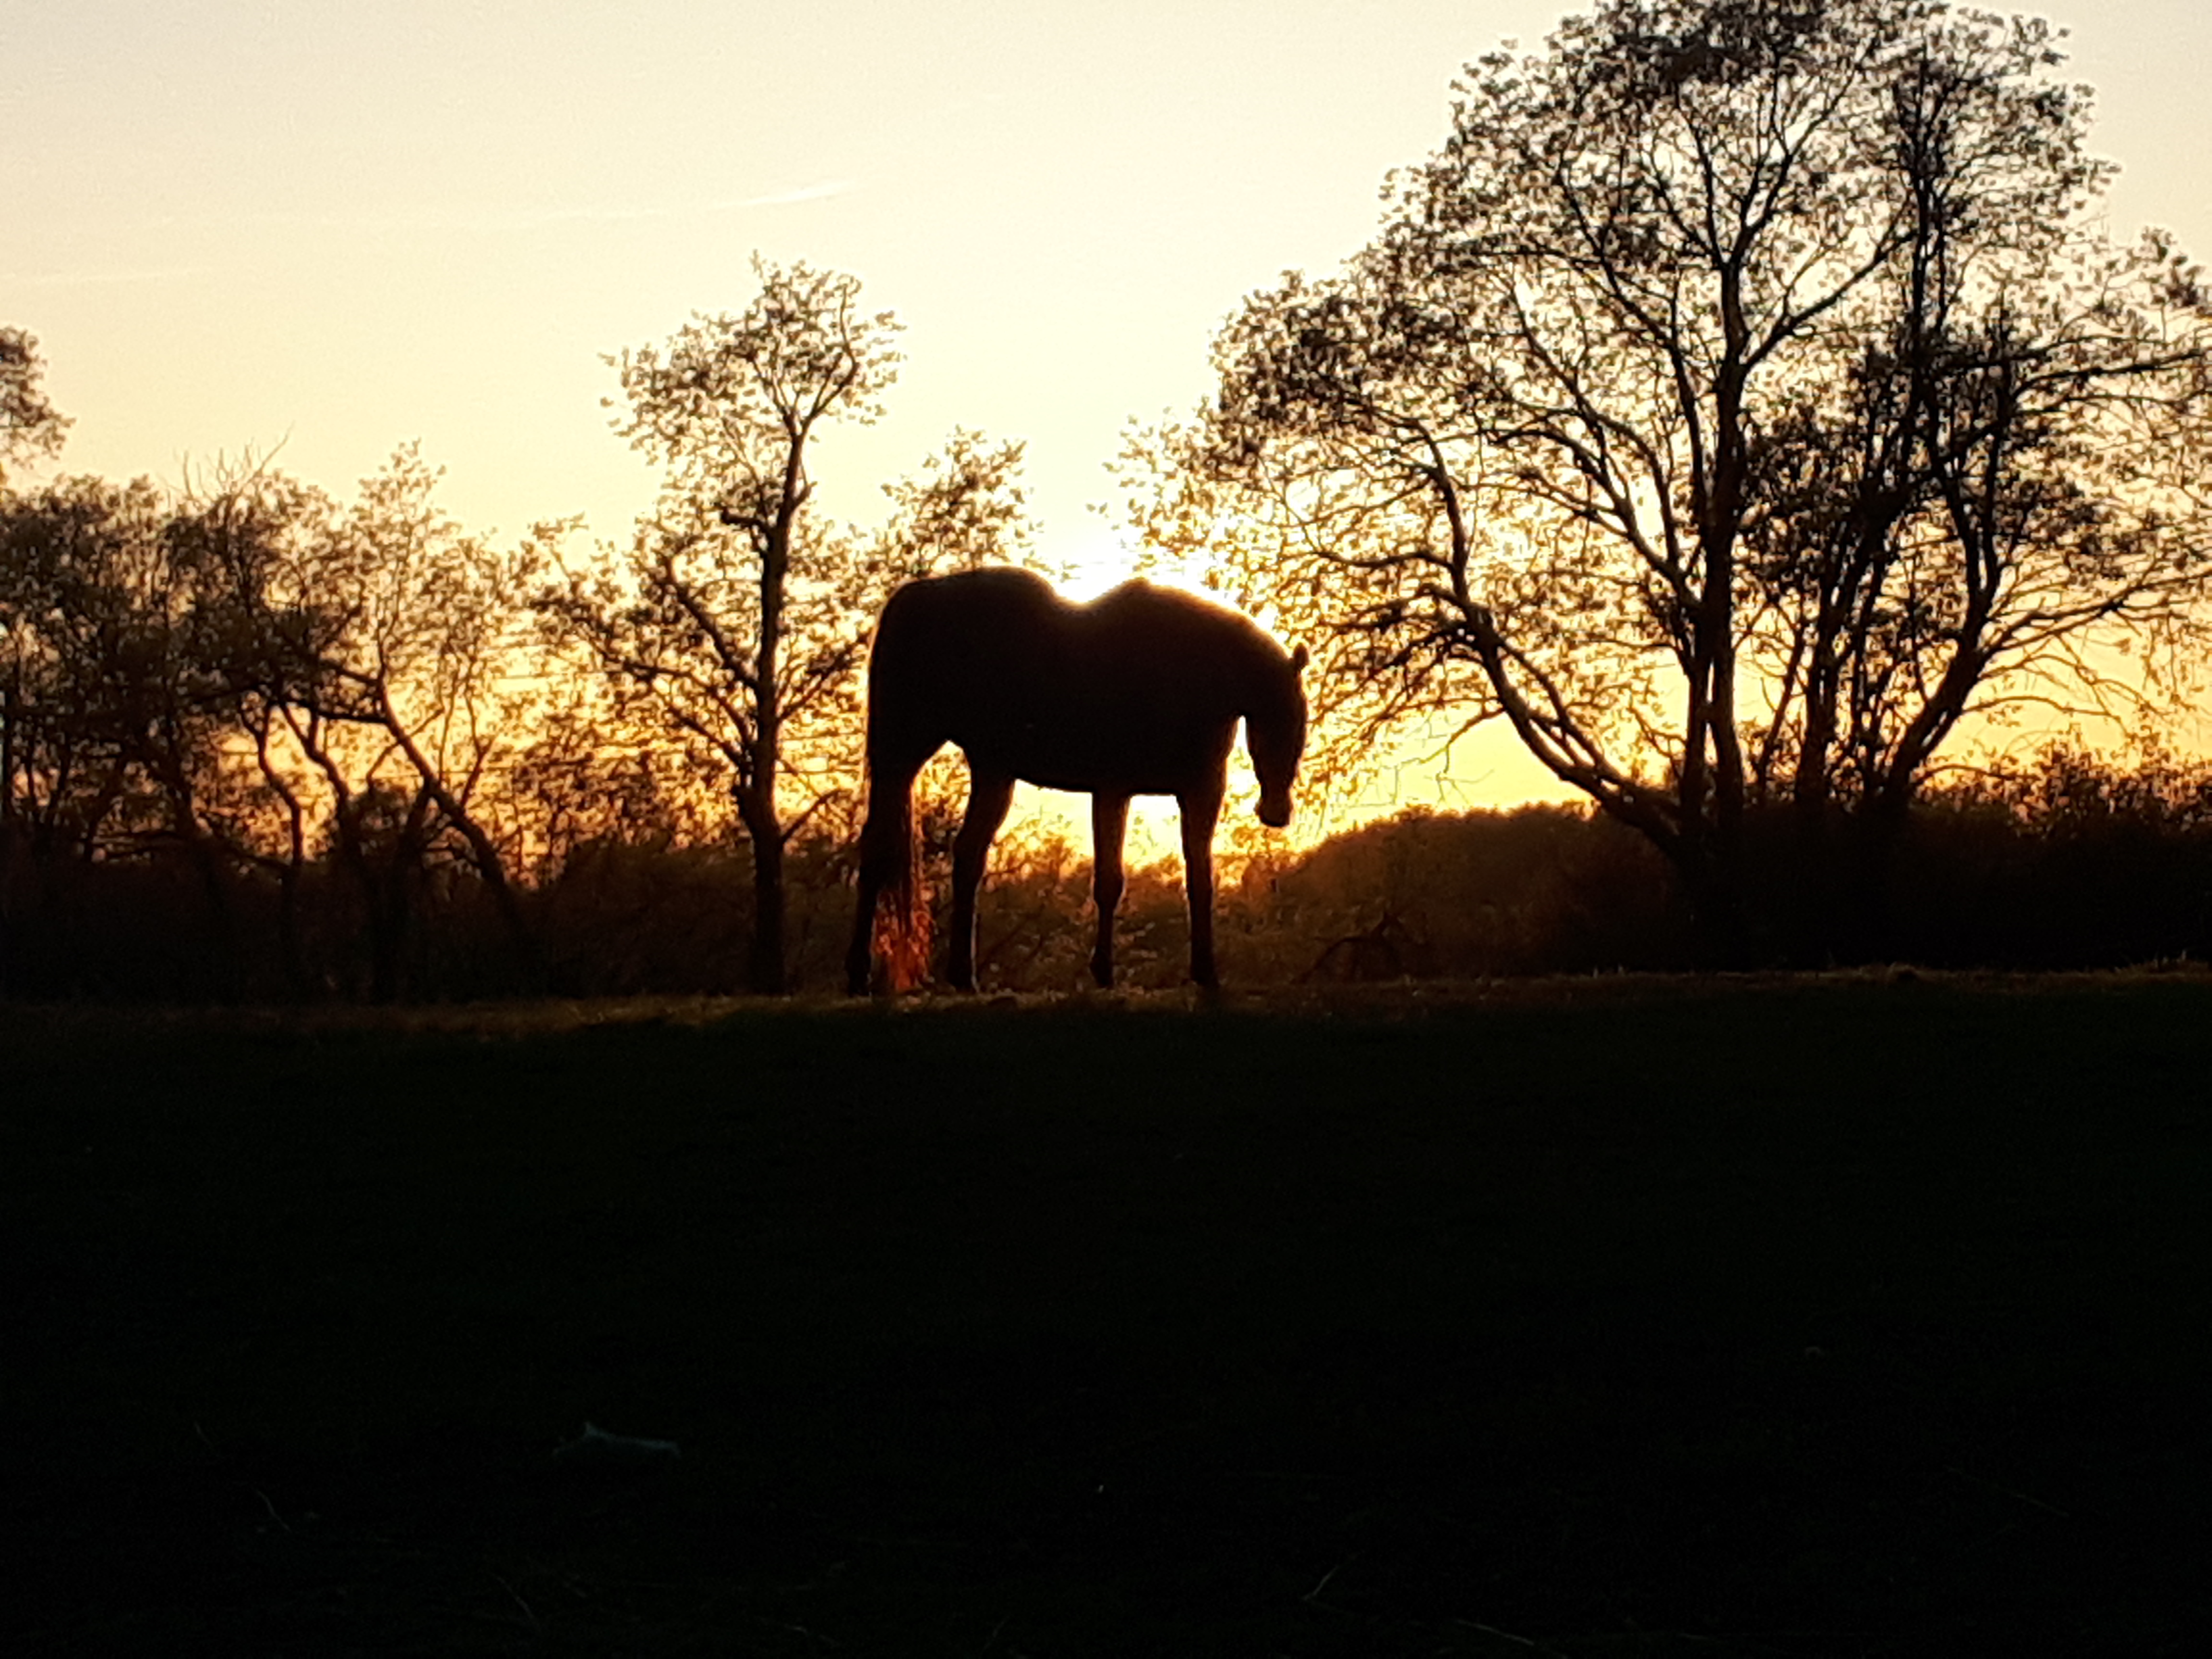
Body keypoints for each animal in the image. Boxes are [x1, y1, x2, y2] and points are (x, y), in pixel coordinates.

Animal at [846, 566, 1308, 993]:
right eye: (1281, 720)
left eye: (1298, 723)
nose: (1276, 813)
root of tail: (913, 598)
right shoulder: (1113, 791)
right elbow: (1109, 882)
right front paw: (1104, 973)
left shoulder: (1198, 795)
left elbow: (1200, 880)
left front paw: (1206, 973)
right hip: (901, 756)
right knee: (879, 849)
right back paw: (860, 976)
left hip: (993, 772)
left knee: (966, 856)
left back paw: (963, 977)